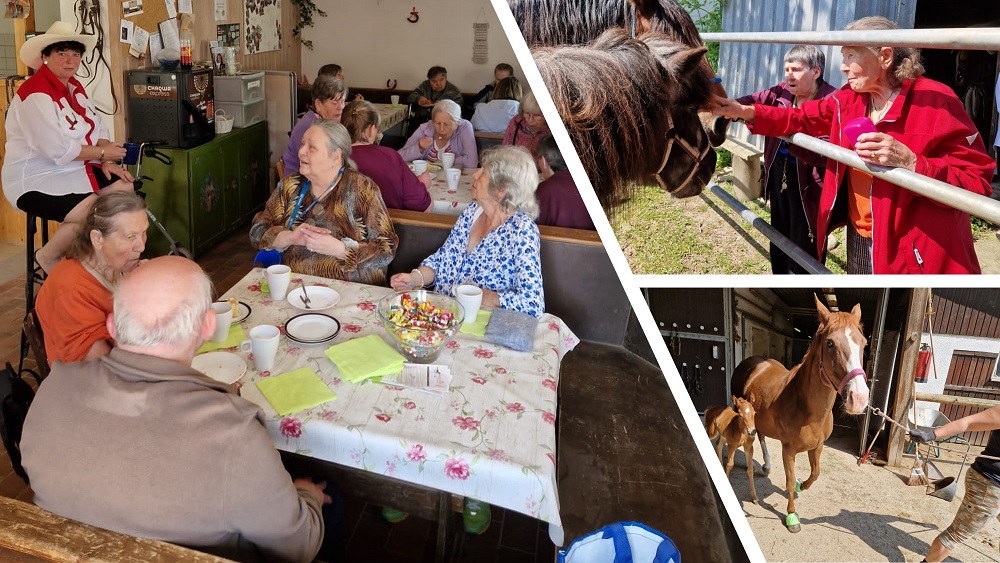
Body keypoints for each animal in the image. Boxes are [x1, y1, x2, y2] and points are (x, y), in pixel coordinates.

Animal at [732, 296, 872, 532]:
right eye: (830, 343)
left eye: (863, 343)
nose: (859, 399)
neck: (808, 409)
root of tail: (751, 362)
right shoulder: (788, 450)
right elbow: (789, 481)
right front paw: (792, 517)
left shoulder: (818, 446)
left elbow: (815, 474)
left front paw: (801, 486)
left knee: (760, 434)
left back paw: (767, 466)